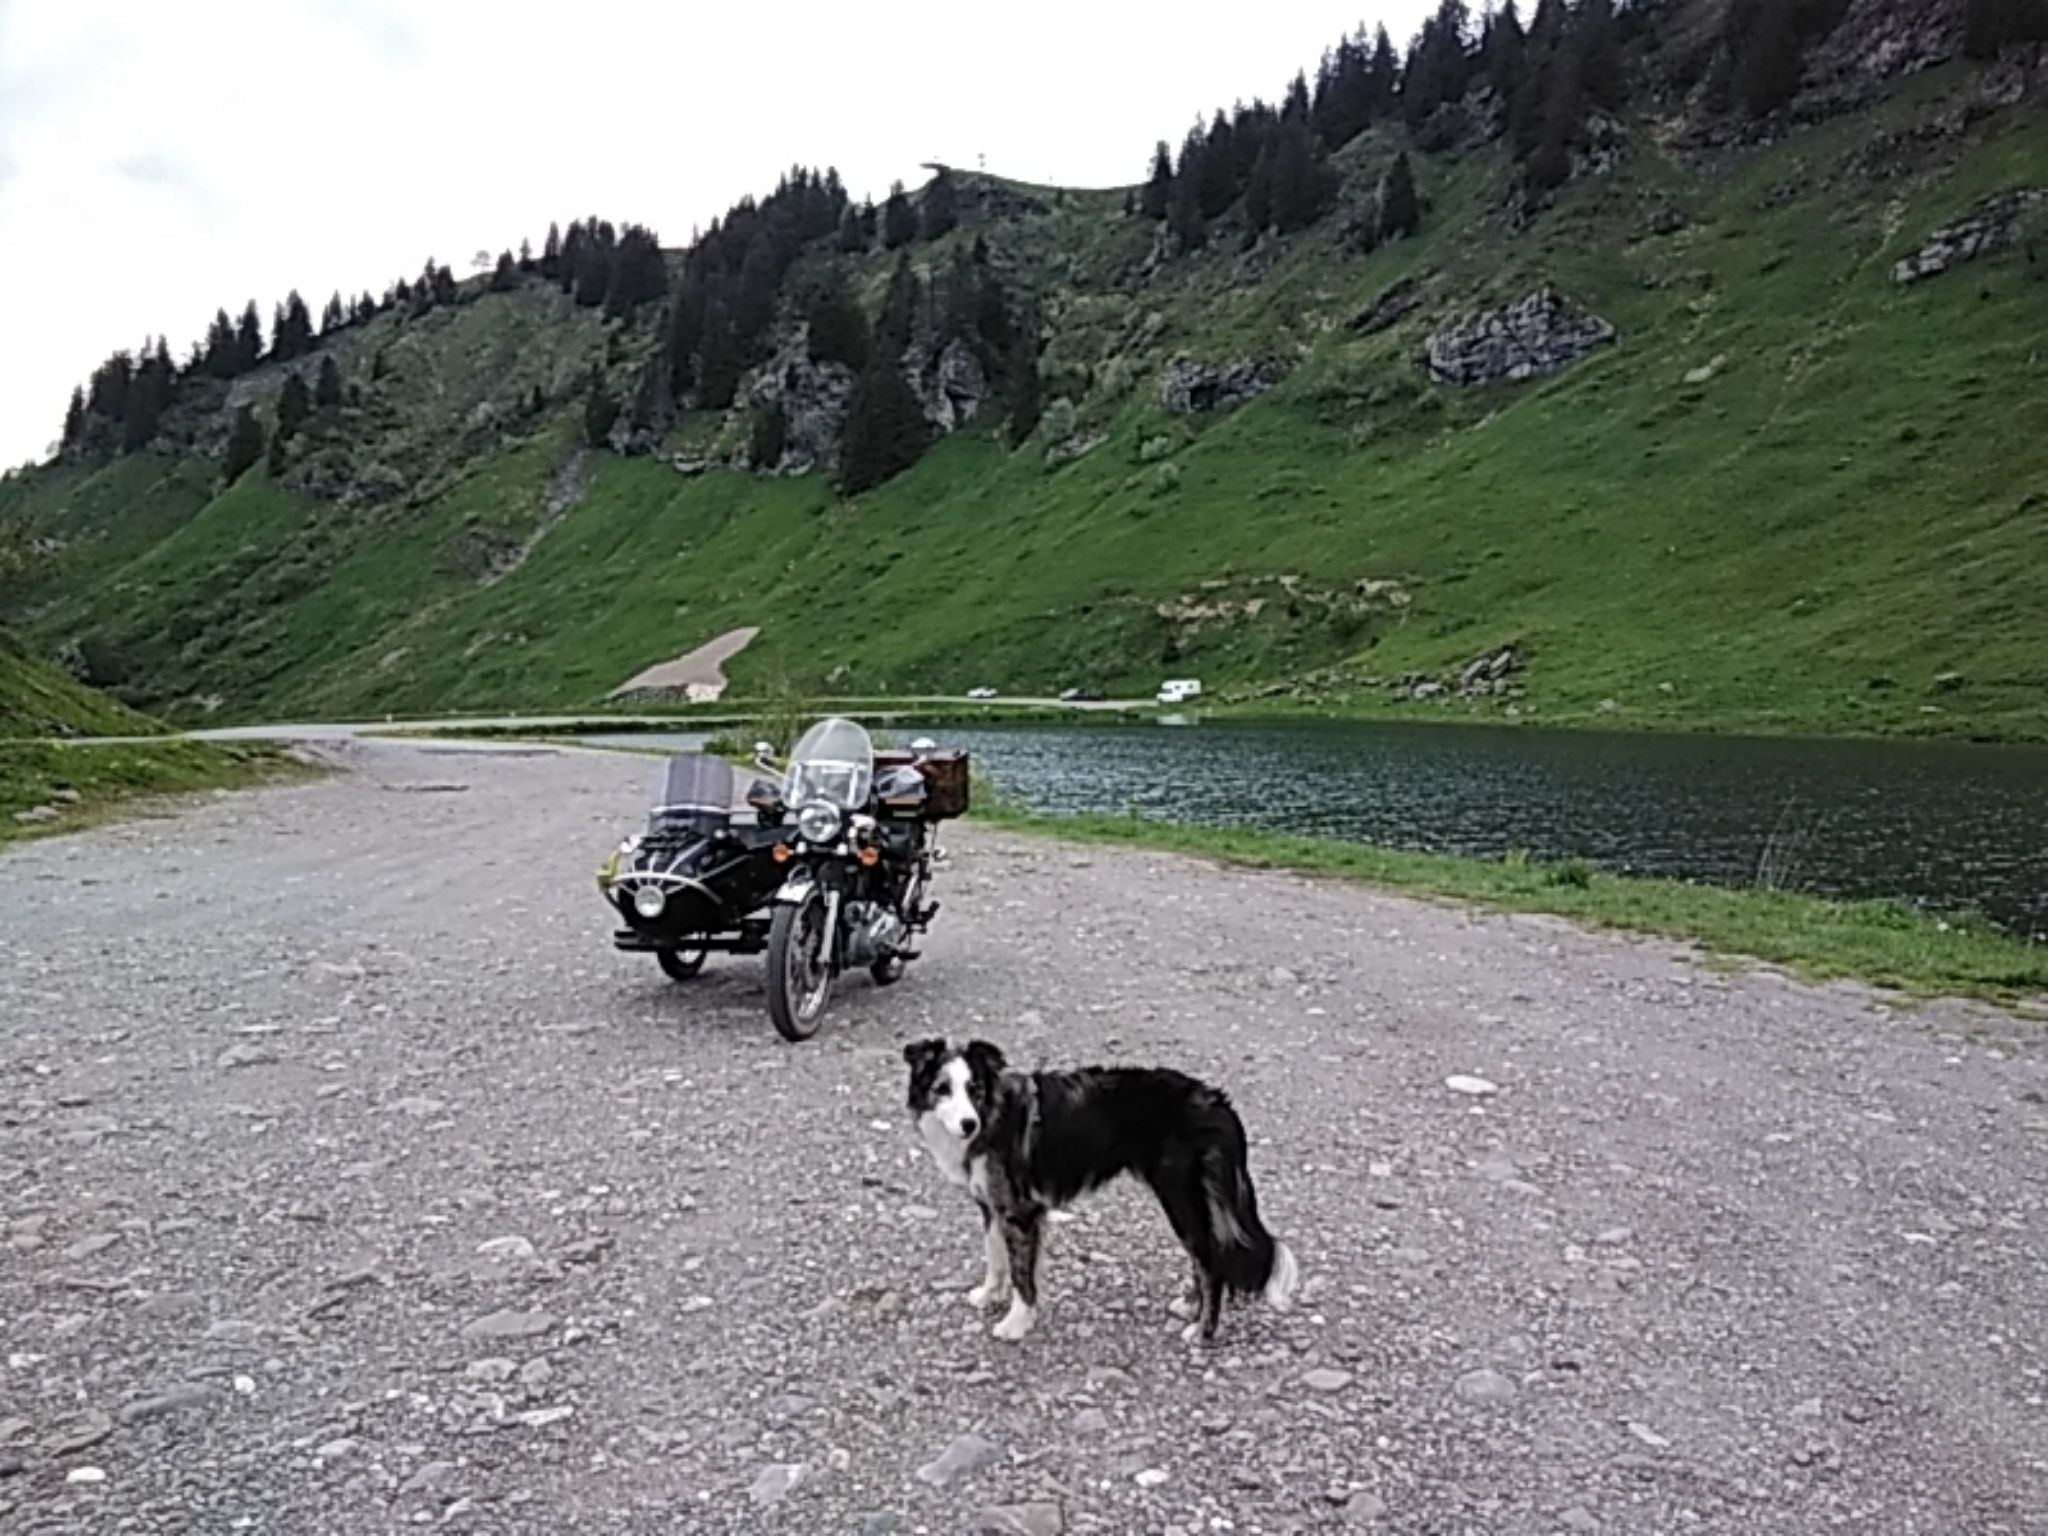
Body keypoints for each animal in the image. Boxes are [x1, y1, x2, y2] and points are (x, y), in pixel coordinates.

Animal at [901, 1036, 1299, 1344]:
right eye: (942, 1090)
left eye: (974, 1090)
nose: (968, 1124)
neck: (993, 1114)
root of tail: (1219, 1103)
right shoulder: (991, 1205)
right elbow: (995, 1257)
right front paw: (988, 1295)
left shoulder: (1020, 1210)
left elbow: (1020, 1273)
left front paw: (1016, 1323)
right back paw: (1191, 1305)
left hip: (1181, 1196)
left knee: (1210, 1263)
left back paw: (1203, 1331)